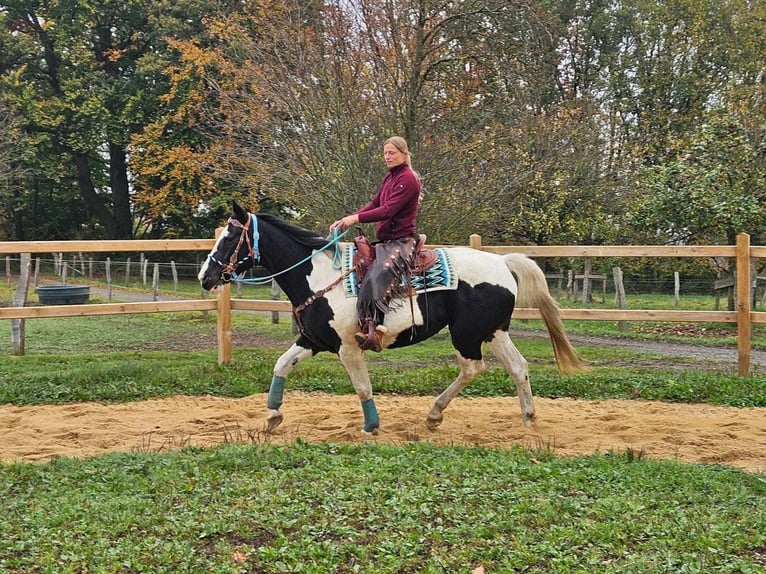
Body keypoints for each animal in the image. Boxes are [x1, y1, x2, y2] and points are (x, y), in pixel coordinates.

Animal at [200, 202, 588, 436]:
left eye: (230, 237)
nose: (206, 276)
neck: (317, 274)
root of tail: (502, 262)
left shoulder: (347, 348)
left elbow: (362, 386)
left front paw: (371, 425)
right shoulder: (312, 340)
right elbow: (281, 365)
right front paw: (271, 417)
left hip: (466, 333)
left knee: (473, 368)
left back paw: (434, 414)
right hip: (494, 331)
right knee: (518, 367)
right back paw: (528, 417)